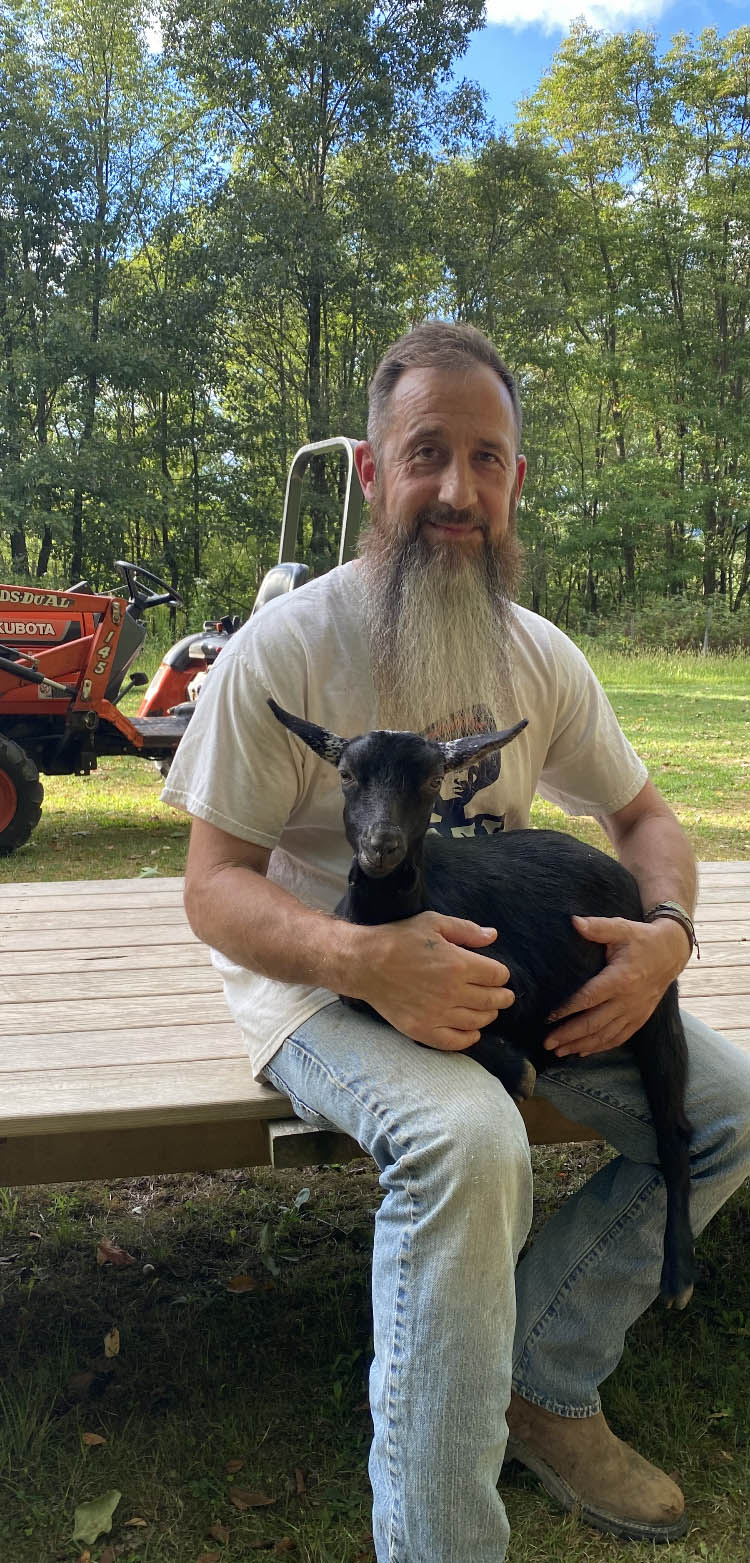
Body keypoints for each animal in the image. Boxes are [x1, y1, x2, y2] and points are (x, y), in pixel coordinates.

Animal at [267, 700, 693, 1306]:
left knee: (675, 1131)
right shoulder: (362, 972)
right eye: (346, 775)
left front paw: (521, 1065)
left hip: (651, 997)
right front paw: (519, 1062)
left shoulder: (513, 978)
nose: (381, 846)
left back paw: (677, 1275)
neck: (401, 915)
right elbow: (392, 1008)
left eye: (429, 781)